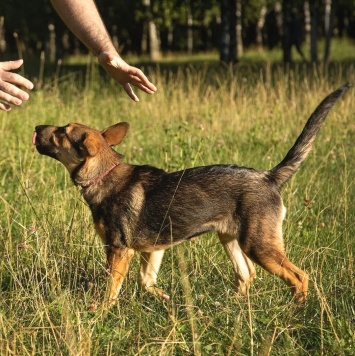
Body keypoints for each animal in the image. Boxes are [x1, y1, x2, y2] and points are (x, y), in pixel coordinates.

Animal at [32, 84, 350, 306]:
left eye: (62, 132)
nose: (35, 126)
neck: (104, 173)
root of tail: (269, 176)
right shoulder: (153, 249)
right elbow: (146, 281)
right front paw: (165, 300)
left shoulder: (119, 249)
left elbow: (112, 288)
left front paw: (99, 312)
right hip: (230, 239)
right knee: (247, 275)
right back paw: (228, 307)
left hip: (259, 245)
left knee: (299, 277)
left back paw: (295, 311)